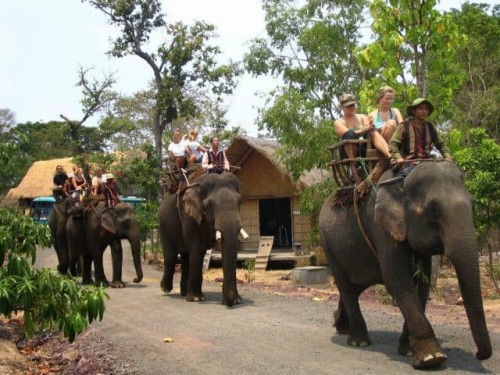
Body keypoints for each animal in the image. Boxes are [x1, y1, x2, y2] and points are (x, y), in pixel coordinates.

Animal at [159, 172, 247, 306]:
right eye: (209, 205)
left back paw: (184, 293)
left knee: (186, 257)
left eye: (239, 201)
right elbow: (196, 248)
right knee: (171, 256)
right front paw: (196, 299)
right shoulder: (190, 215)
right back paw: (166, 288)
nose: (229, 303)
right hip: (163, 226)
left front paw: (237, 300)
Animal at [320, 161, 492, 370]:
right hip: (328, 246)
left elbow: (422, 283)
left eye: (473, 205)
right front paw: (431, 358)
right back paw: (358, 342)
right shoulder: (381, 226)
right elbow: (397, 279)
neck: (403, 180)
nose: (479, 354)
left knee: (353, 288)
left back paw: (342, 327)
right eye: (434, 210)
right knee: (347, 288)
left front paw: (409, 351)